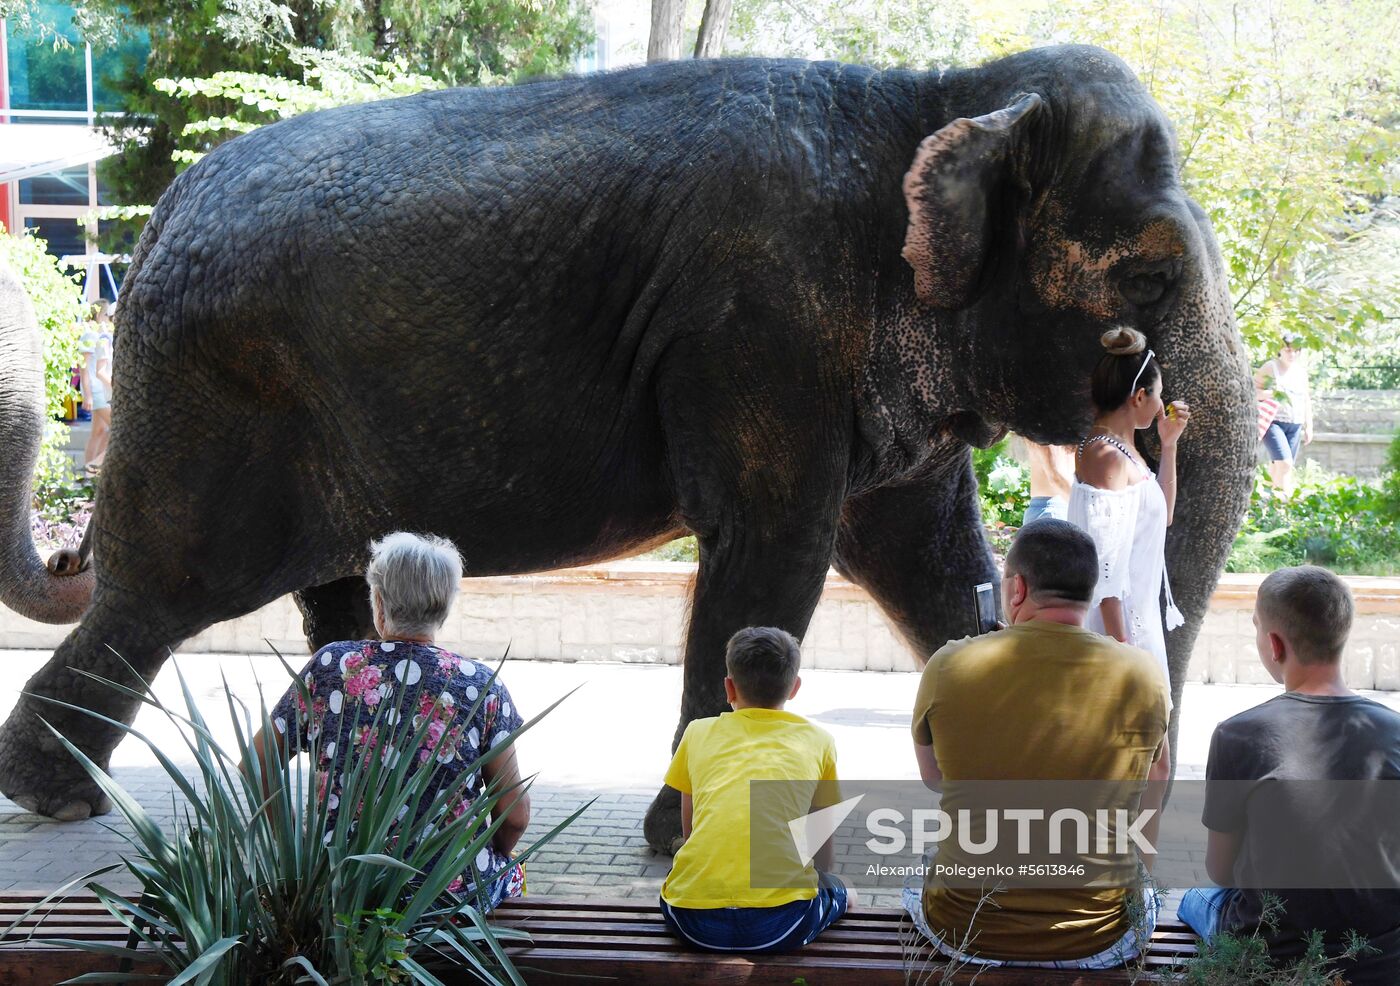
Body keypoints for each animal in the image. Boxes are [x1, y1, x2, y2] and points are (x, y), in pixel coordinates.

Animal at [0, 44, 1248, 845]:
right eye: (1146, 277)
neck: (937, 91)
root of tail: (156, 213)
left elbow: (926, 561)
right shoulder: (759, 326)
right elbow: (770, 547)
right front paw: (696, 833)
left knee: (328, 602)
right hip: (212, 400)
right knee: (169, 591)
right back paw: (61, 799)